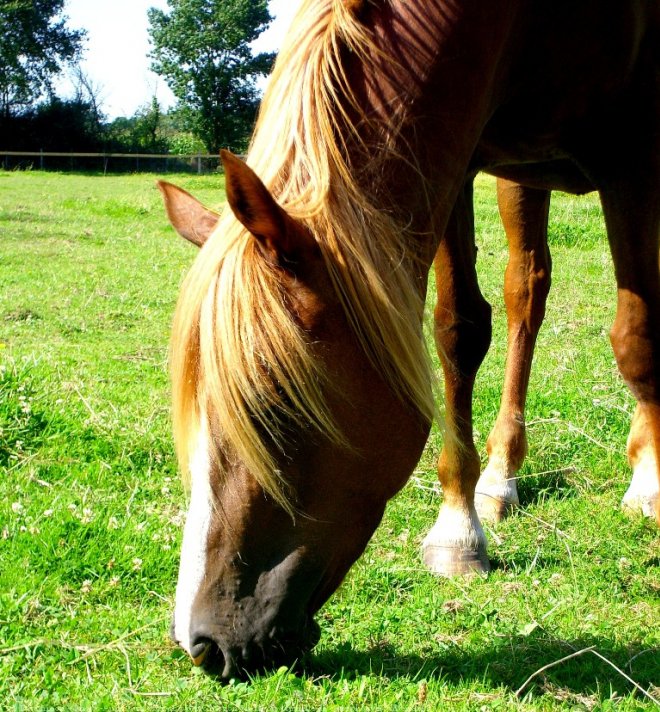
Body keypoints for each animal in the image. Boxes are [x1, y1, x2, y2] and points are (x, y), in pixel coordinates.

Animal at [157, 0, 656, 680]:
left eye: (274, 408)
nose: (202, 643)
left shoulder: (636, 155)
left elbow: (637, 336)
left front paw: (651, 480)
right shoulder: (454, 156)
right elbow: (460, 330)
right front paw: (459, 527)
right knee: (527, 290)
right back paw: (501, 475)